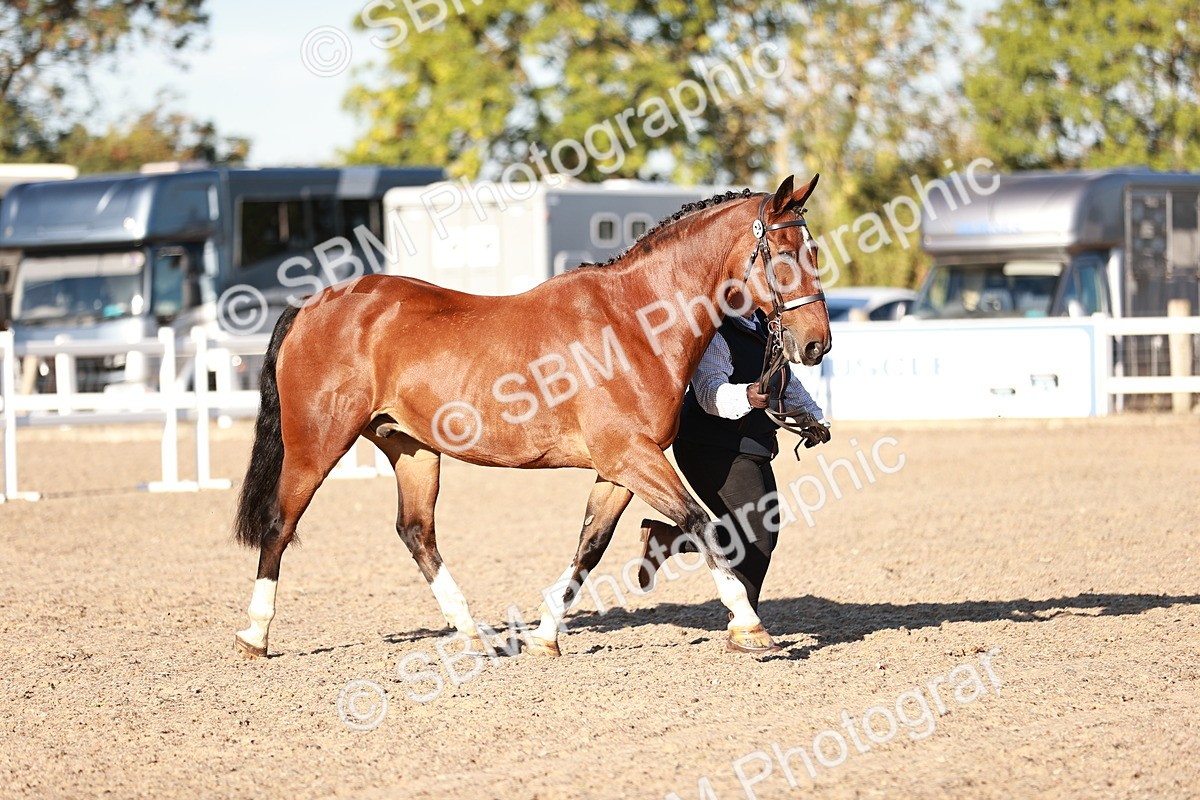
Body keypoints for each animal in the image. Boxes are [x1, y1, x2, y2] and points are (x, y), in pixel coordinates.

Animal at [232, 174, 831, 659]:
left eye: (814, 249)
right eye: (781, 251)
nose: (816, 345)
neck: (633, 321)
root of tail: (312, 305)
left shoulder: (619, 468)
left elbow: (590, 546)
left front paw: (544, 636)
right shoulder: (632, 457)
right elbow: (701, 524)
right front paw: (749, 625)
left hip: (411, 447)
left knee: (416, 532)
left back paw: (472, 633)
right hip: (317, 443)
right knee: (281, 525)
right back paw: (255, 635)